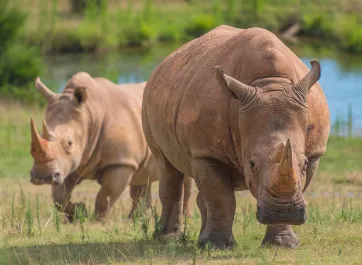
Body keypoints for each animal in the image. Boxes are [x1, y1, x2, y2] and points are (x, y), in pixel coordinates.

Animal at [29, 73, 194, 220]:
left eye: (70, 143)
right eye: (41, 136)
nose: (42, 176)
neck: (90, 115)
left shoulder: (121, 161)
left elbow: (106, 194)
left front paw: (98, 220)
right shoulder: (67, 163)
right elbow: (59, 198)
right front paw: (78, 211)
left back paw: (185, 217)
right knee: (143, 176)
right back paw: (134, 219)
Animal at [141, 25, 330, 248]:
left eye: (304, 164)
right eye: (252, 164)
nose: (284, 212)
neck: (270, 83)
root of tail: (164, 62)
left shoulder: (315, 152)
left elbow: (300, 184)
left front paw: (282, 243)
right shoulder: (205, 152)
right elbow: (221, 198)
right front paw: (216, 246)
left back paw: (198, 239)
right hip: (149, 100)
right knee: (168, 168)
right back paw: (168, 237)